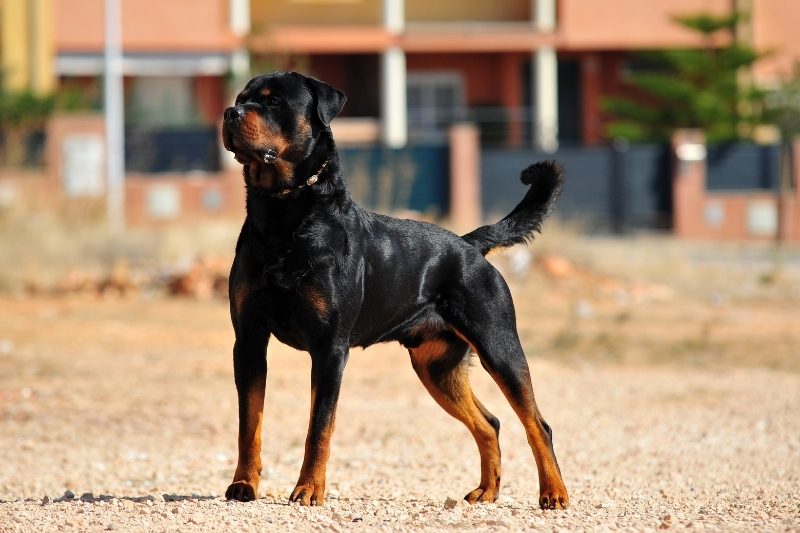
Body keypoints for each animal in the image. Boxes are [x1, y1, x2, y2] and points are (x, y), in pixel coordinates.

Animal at [219, 70, 568, 508]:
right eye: (240, 98)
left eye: (272, 102)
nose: (229, 113)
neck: (283, 215)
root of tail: (468, 245)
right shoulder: (249, 340)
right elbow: (249, 422)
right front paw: (243, 485)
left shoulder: (330, 348)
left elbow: (319, 427)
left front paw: (309, 489)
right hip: (436, 368)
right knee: (490, 423)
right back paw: (486, 491)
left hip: (499, 345)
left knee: (537, 422)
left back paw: (554, 493)